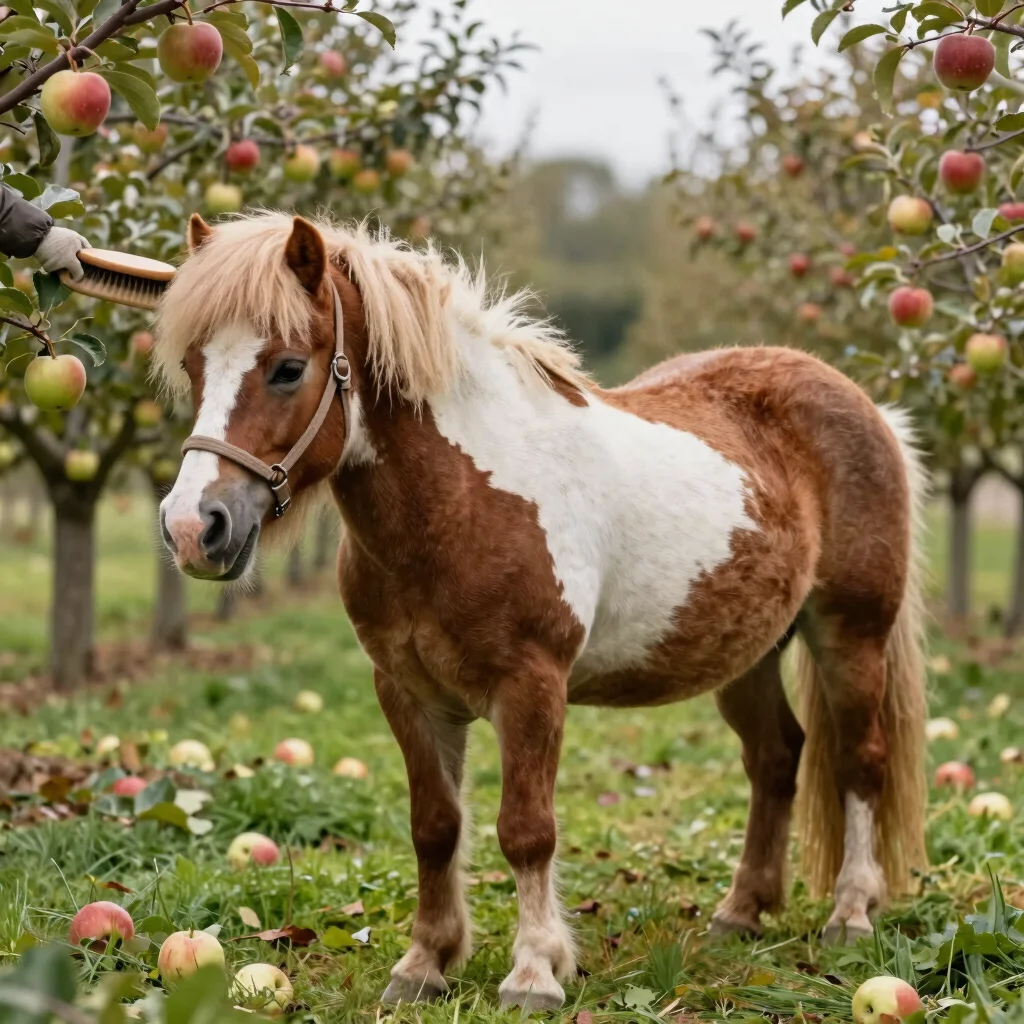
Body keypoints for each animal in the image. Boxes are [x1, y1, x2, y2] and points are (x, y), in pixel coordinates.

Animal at [155, 210, 927, 1011]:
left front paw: (534, 973)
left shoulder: (531, 687)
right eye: (193, 366)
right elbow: (435, 826)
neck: (465, 499)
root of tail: (871, 410)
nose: (192, 527)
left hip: (851, 634)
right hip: (749, 652)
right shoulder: (408, 692)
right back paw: (740, 914)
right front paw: (424, 964)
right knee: (776, 757)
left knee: (860, 761)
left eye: (286, 368)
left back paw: (850, 915)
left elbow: (526, 830)